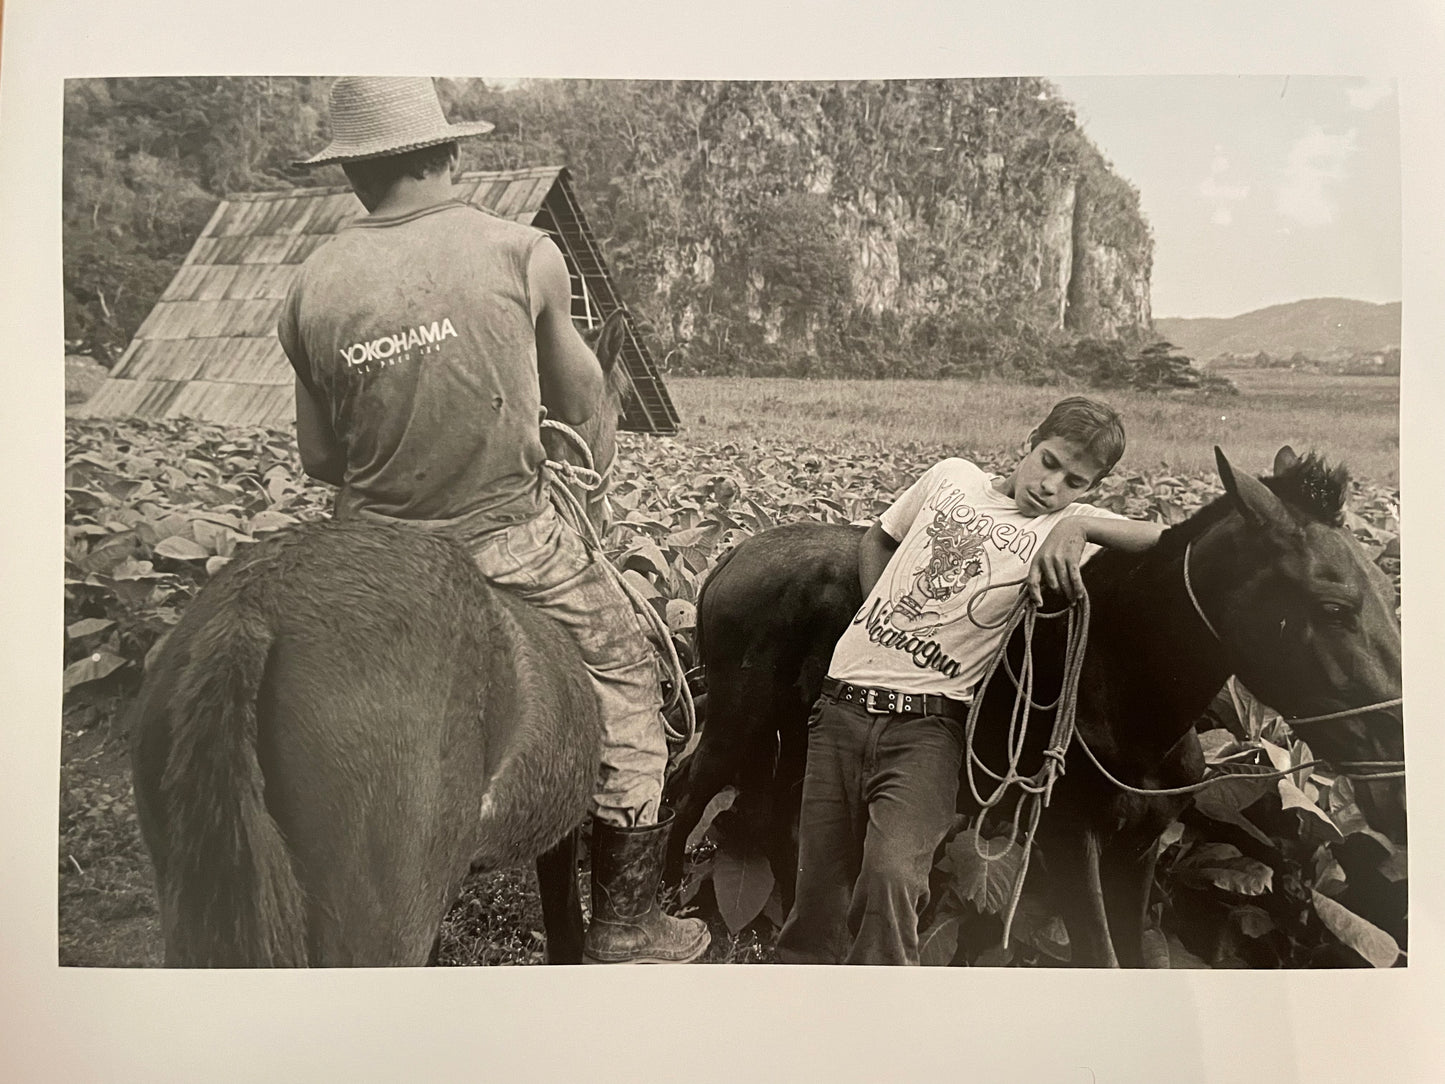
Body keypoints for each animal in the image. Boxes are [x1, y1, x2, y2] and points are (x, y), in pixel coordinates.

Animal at [132, 313, 630, 965]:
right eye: (620, 407)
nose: (607, 517)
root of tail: (255, 605)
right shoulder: (557, 833)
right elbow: (566, 926)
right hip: (380, 921)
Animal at [664, 445, 1398, 971]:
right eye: (1334, 608)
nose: (1394, 767)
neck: (1122, 689)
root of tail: (730, 554)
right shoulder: (1067, 843)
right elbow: (1100, 956)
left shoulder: (1138, 848)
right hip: (737, 723)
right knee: (691, 787)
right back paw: (669, 902)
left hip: (796, 739)